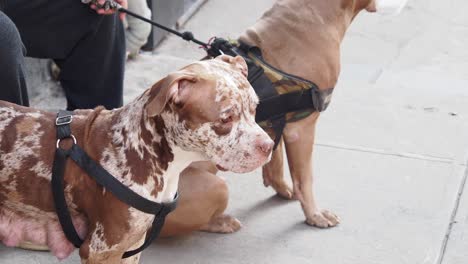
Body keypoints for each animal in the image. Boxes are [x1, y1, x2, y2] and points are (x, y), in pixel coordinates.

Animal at [159, 0, 408, 235]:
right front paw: (315, 214)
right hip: (215, 186)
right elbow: (305, 178)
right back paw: (221, 222)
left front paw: (282, 188)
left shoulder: (274, 124)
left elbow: (274, 159)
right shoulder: (302, 128)